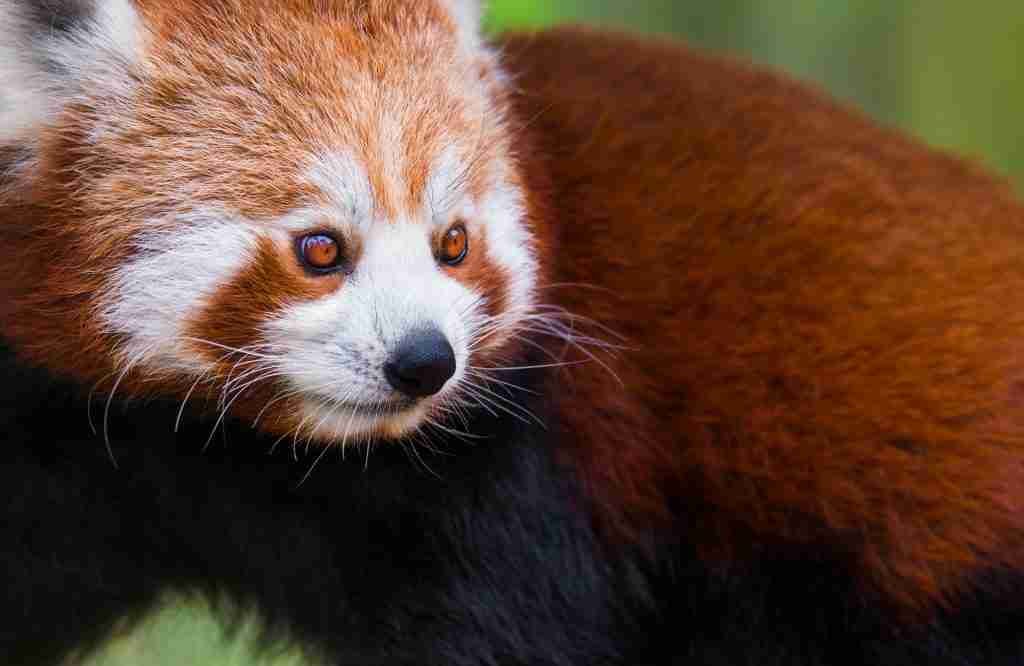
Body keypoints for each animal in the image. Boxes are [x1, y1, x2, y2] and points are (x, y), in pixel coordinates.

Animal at [2, 0, 1024, 659]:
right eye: (320, 248)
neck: (266, 457)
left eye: (453, 243)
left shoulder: (534, 463)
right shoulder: (92, 453)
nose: (425, 361)